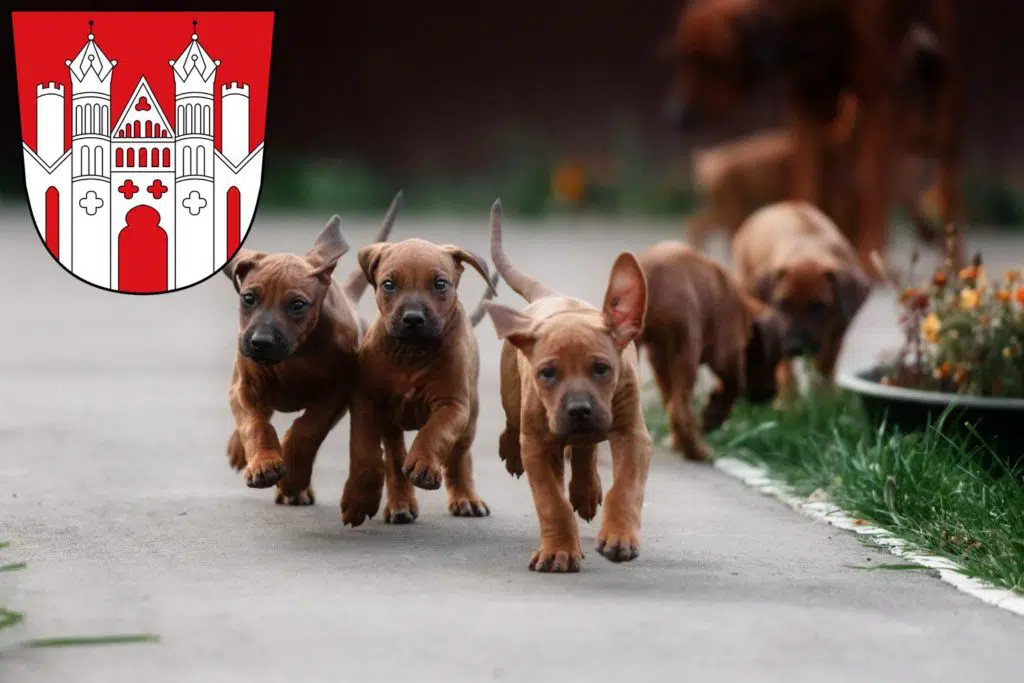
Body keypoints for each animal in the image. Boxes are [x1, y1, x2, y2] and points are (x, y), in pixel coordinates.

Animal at [222, 189, 401, 505]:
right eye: (248, 298)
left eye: (297, 305)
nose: (260, 343)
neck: (297, 353)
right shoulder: (245, 387)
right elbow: (254, 424)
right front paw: (263, 462)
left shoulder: (336, 393)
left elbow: (307, 430)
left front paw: (292, 477)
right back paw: (239, 449)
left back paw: (298, 488)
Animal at [339, 232, 499, 528]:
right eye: (388, 284)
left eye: (440, 284)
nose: (413, 319)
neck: (411, 353)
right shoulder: (366, 402)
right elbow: (363, 451)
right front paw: (359, 498)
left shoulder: (452, 405)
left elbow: (435, 432)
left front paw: (424, 464)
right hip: (390, 424)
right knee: (394, 457)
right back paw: (400, 504)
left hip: (470, 416)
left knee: (459, 455)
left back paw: (465, 498)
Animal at [481, 200, 655, 573]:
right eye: (547, 373)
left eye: (602, 369)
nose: (578, 410)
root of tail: (552, 295)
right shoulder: (537, 445)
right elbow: (551, 502)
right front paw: (558, 550)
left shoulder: (634, 436)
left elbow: (626, 488)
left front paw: (619, 536)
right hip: (515, 400)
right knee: (515, 425)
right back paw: (514, 453)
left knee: (585, 449)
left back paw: (586, 490)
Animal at [634, 242, 786, 462]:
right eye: (775, 359)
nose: (771, 394)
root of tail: (651, 275)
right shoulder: (728, 354)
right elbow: (733, 387)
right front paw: (711, 416)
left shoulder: (659, 358)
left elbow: (669, 395)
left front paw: (677, 441)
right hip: (687, 349)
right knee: (680, 409)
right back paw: (698, 452)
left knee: (672, 405)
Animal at [729, 198, 872, 401]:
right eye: (782, 304)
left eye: (819, 306)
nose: (797, 346)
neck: (808, 251)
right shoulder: (780, 332)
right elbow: (785, 370)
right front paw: (787, 402)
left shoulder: (838, 330)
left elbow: (824, 366)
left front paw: (823, 398)